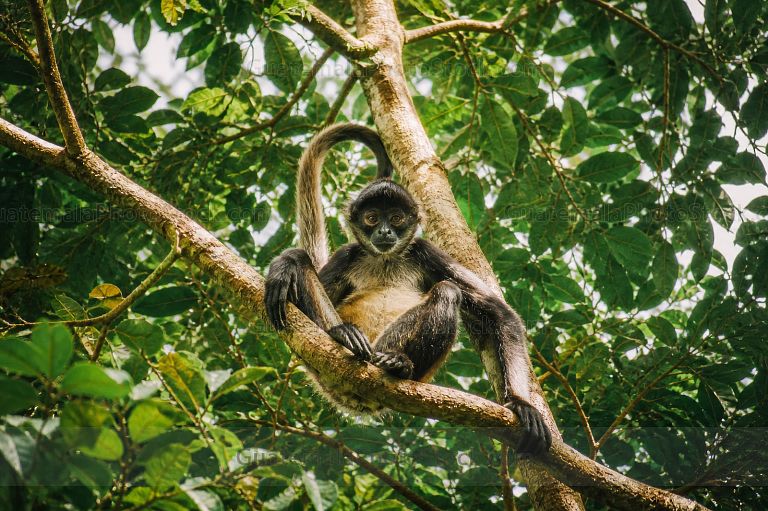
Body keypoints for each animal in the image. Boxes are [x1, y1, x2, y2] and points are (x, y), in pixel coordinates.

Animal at [265, 123, 551, 455]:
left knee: (447, 291)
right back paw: (342, 334)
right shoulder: (348, 254)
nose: (384, 231)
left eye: (397, 218)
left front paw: (521, 404)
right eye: (372, 218)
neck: (387, 258)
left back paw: (397, 364)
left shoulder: (425, 252)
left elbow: (499, 313)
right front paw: (283, 266)